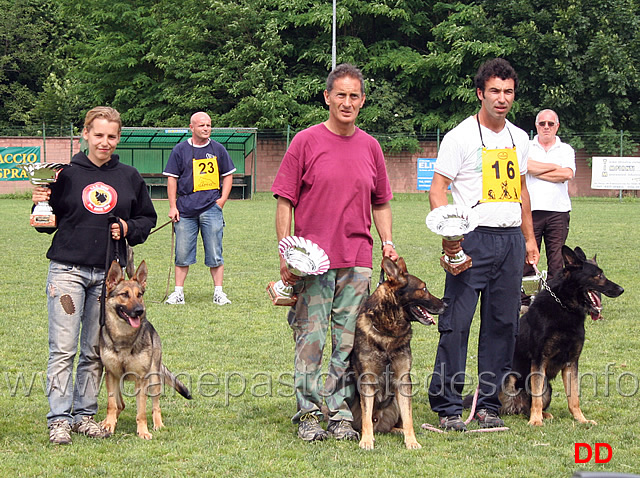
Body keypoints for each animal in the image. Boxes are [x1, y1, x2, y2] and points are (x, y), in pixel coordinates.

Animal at [100, 260, 192, 438]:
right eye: (124, 294)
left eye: (139, 295)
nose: (139, 311)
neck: (124, 338)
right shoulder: (111, 374)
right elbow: (111, 404)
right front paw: (108, 425)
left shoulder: (141, 380)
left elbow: (141, 411)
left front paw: (143, 431)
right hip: (117, 380)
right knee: (120, 404)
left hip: (154, 379)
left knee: (155, 405)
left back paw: (158, 425)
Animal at [350, 258, 444, 448]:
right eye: (424, 289)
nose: (445, 304)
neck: (388, 332)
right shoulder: (367, 380)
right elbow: (366, 418)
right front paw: (366, 440)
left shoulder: (403, 381)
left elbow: (409, 418)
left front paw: (411, 441)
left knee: (396, 424)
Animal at [502, 246, 624, 426]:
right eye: (598, 275)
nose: (621, 290)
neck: (565, 307)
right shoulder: (539, 360)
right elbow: (536, 397)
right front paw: (535, 421)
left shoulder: (571, 362)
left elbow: (574, 397)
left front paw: (581, 419)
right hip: (512, 379)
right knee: (514, 406)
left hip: (548, 387)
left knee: (526, 407)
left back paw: (542, 414)